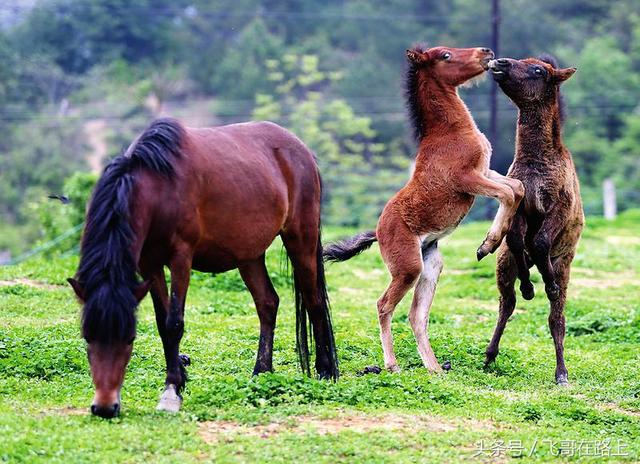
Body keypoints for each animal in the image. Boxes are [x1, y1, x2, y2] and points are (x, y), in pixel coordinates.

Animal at [68, 118, 340, 418]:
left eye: (130, 338)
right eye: (87, 337)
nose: (105, 407)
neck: (158, 187)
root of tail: (302, 150)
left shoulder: (181, 259)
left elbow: (174, 323)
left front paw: (171, 393)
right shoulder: (149, 264)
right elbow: (163, 324)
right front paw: (179, 379)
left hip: (301, 238)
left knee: (313, 300)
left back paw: (325, 372)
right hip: (249, 254)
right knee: (267, 303)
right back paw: (261, 373)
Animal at [322, 46, 524, 374]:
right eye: (445, 55)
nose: (486, 52)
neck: (450, 132)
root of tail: (378, 232)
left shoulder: (485, 172)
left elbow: (516, 187)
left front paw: (490, 242)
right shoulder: (467, 179)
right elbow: (508, 193)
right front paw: (487, 245)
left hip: (431, 264)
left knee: (417, 315)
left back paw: (435, 369)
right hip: (408, 267)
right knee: (384, 305)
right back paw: (392, 364)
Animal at [484, 56, 584, 386]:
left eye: (538, 70)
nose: (500, 62)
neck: (535, 165)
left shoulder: (560, 206)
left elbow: (540, 241)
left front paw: (546, 285)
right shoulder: (519, 209)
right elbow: (517, 240)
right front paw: (529, 286)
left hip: (565, 263)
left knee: (557, 317)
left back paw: (562, 372)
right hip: (503, 263)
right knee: (507, 302)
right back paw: (490, 354)